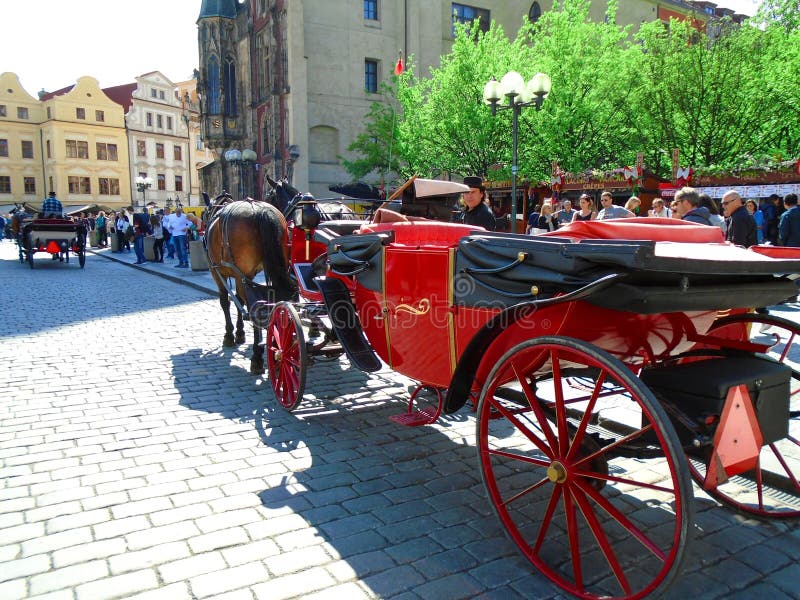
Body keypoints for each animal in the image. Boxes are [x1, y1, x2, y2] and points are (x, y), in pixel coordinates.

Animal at [203, 197, 296, 376]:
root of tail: (259, 210)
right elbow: (239, 302)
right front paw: (239, 333)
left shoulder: (216, 272)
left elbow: (226, 302)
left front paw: (229, 335)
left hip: (242, 276)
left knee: (255, 311)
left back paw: (257, 356)